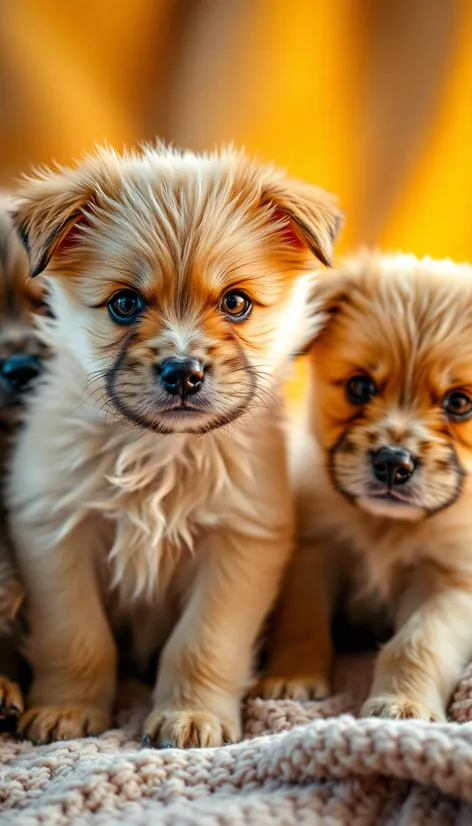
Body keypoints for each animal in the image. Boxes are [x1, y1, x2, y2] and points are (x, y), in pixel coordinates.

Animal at [6, 145, 340, 744]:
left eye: (235, 303)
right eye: (124, 304)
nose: (183, 373)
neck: (160, 452)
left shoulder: (240, 544)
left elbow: (203, 641)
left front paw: (192, 715)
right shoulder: (55, 533)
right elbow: (77, 636)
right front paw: (68, 709)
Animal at [262, 253, 472, 720]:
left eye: (459, 403)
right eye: (360, 387)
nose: (393, 464)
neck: (385, 526)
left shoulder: (451, 582)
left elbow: (417, 643)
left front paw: (403, 703)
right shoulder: (315, 550)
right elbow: (303, 622)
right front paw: (292, 679)